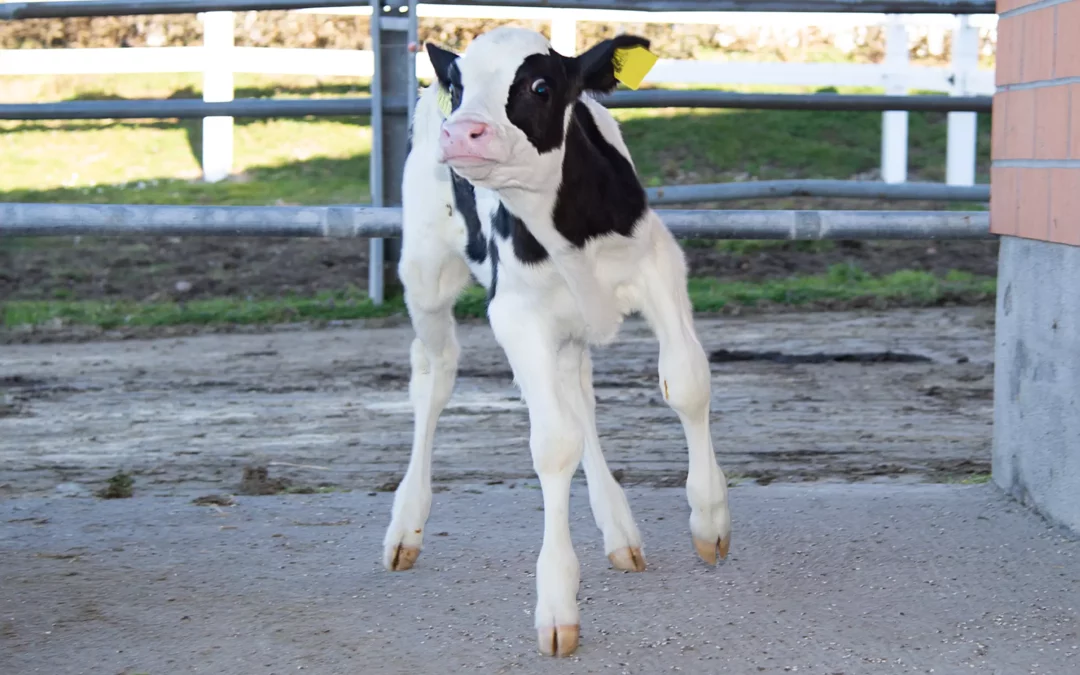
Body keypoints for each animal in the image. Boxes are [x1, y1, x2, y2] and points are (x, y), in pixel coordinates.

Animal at [382, 28, 734, 656]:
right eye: (461, 87)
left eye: (540, 87)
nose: (460, 132)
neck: (566, 224)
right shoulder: (516, 313)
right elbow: (552, 444)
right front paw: (556, 604)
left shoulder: (660, 266)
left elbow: (688, 384)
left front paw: (710, 519)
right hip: (424, 272)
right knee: (435, 373)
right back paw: (406, 526)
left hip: (564, 327)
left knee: (578, 397)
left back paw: (619, 531)